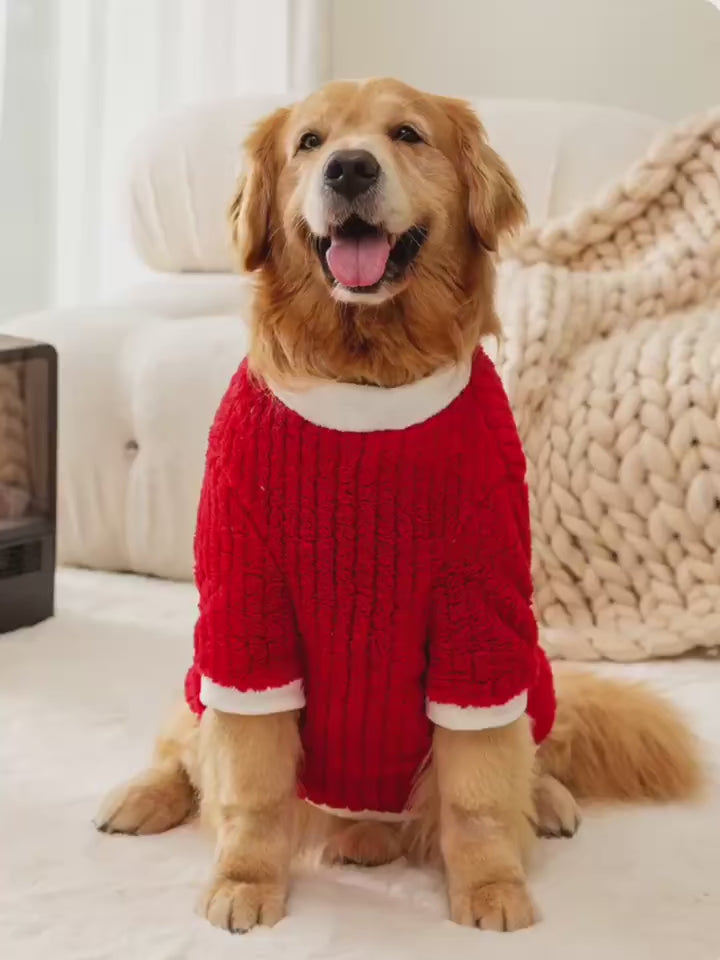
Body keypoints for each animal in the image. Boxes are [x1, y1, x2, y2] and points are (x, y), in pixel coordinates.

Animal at [95, 79, 704, 932]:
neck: (366, 378)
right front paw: (246, 879)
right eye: (309, 143)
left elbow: (481, 791)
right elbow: (249, 786)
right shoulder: (247, 617)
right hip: (200, 668)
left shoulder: (479, 621)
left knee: (533, 753)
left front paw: (492, 887)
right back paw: (141, 798)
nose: (350, 169)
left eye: (408, 134)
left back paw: (543, 801)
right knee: (181, 752)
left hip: (533, 670)